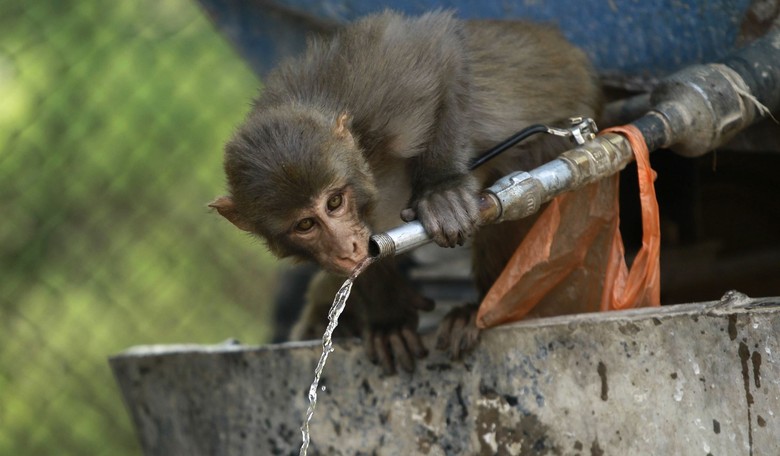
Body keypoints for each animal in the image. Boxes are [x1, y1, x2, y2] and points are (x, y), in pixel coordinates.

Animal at [210, 10, 601, 374]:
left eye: (334, 202)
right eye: (305, 225)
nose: (347, 247)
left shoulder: (382, 93)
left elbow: (441, 49)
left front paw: (442, 189)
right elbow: (363, 266)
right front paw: (389, 318)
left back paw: (479, 307)